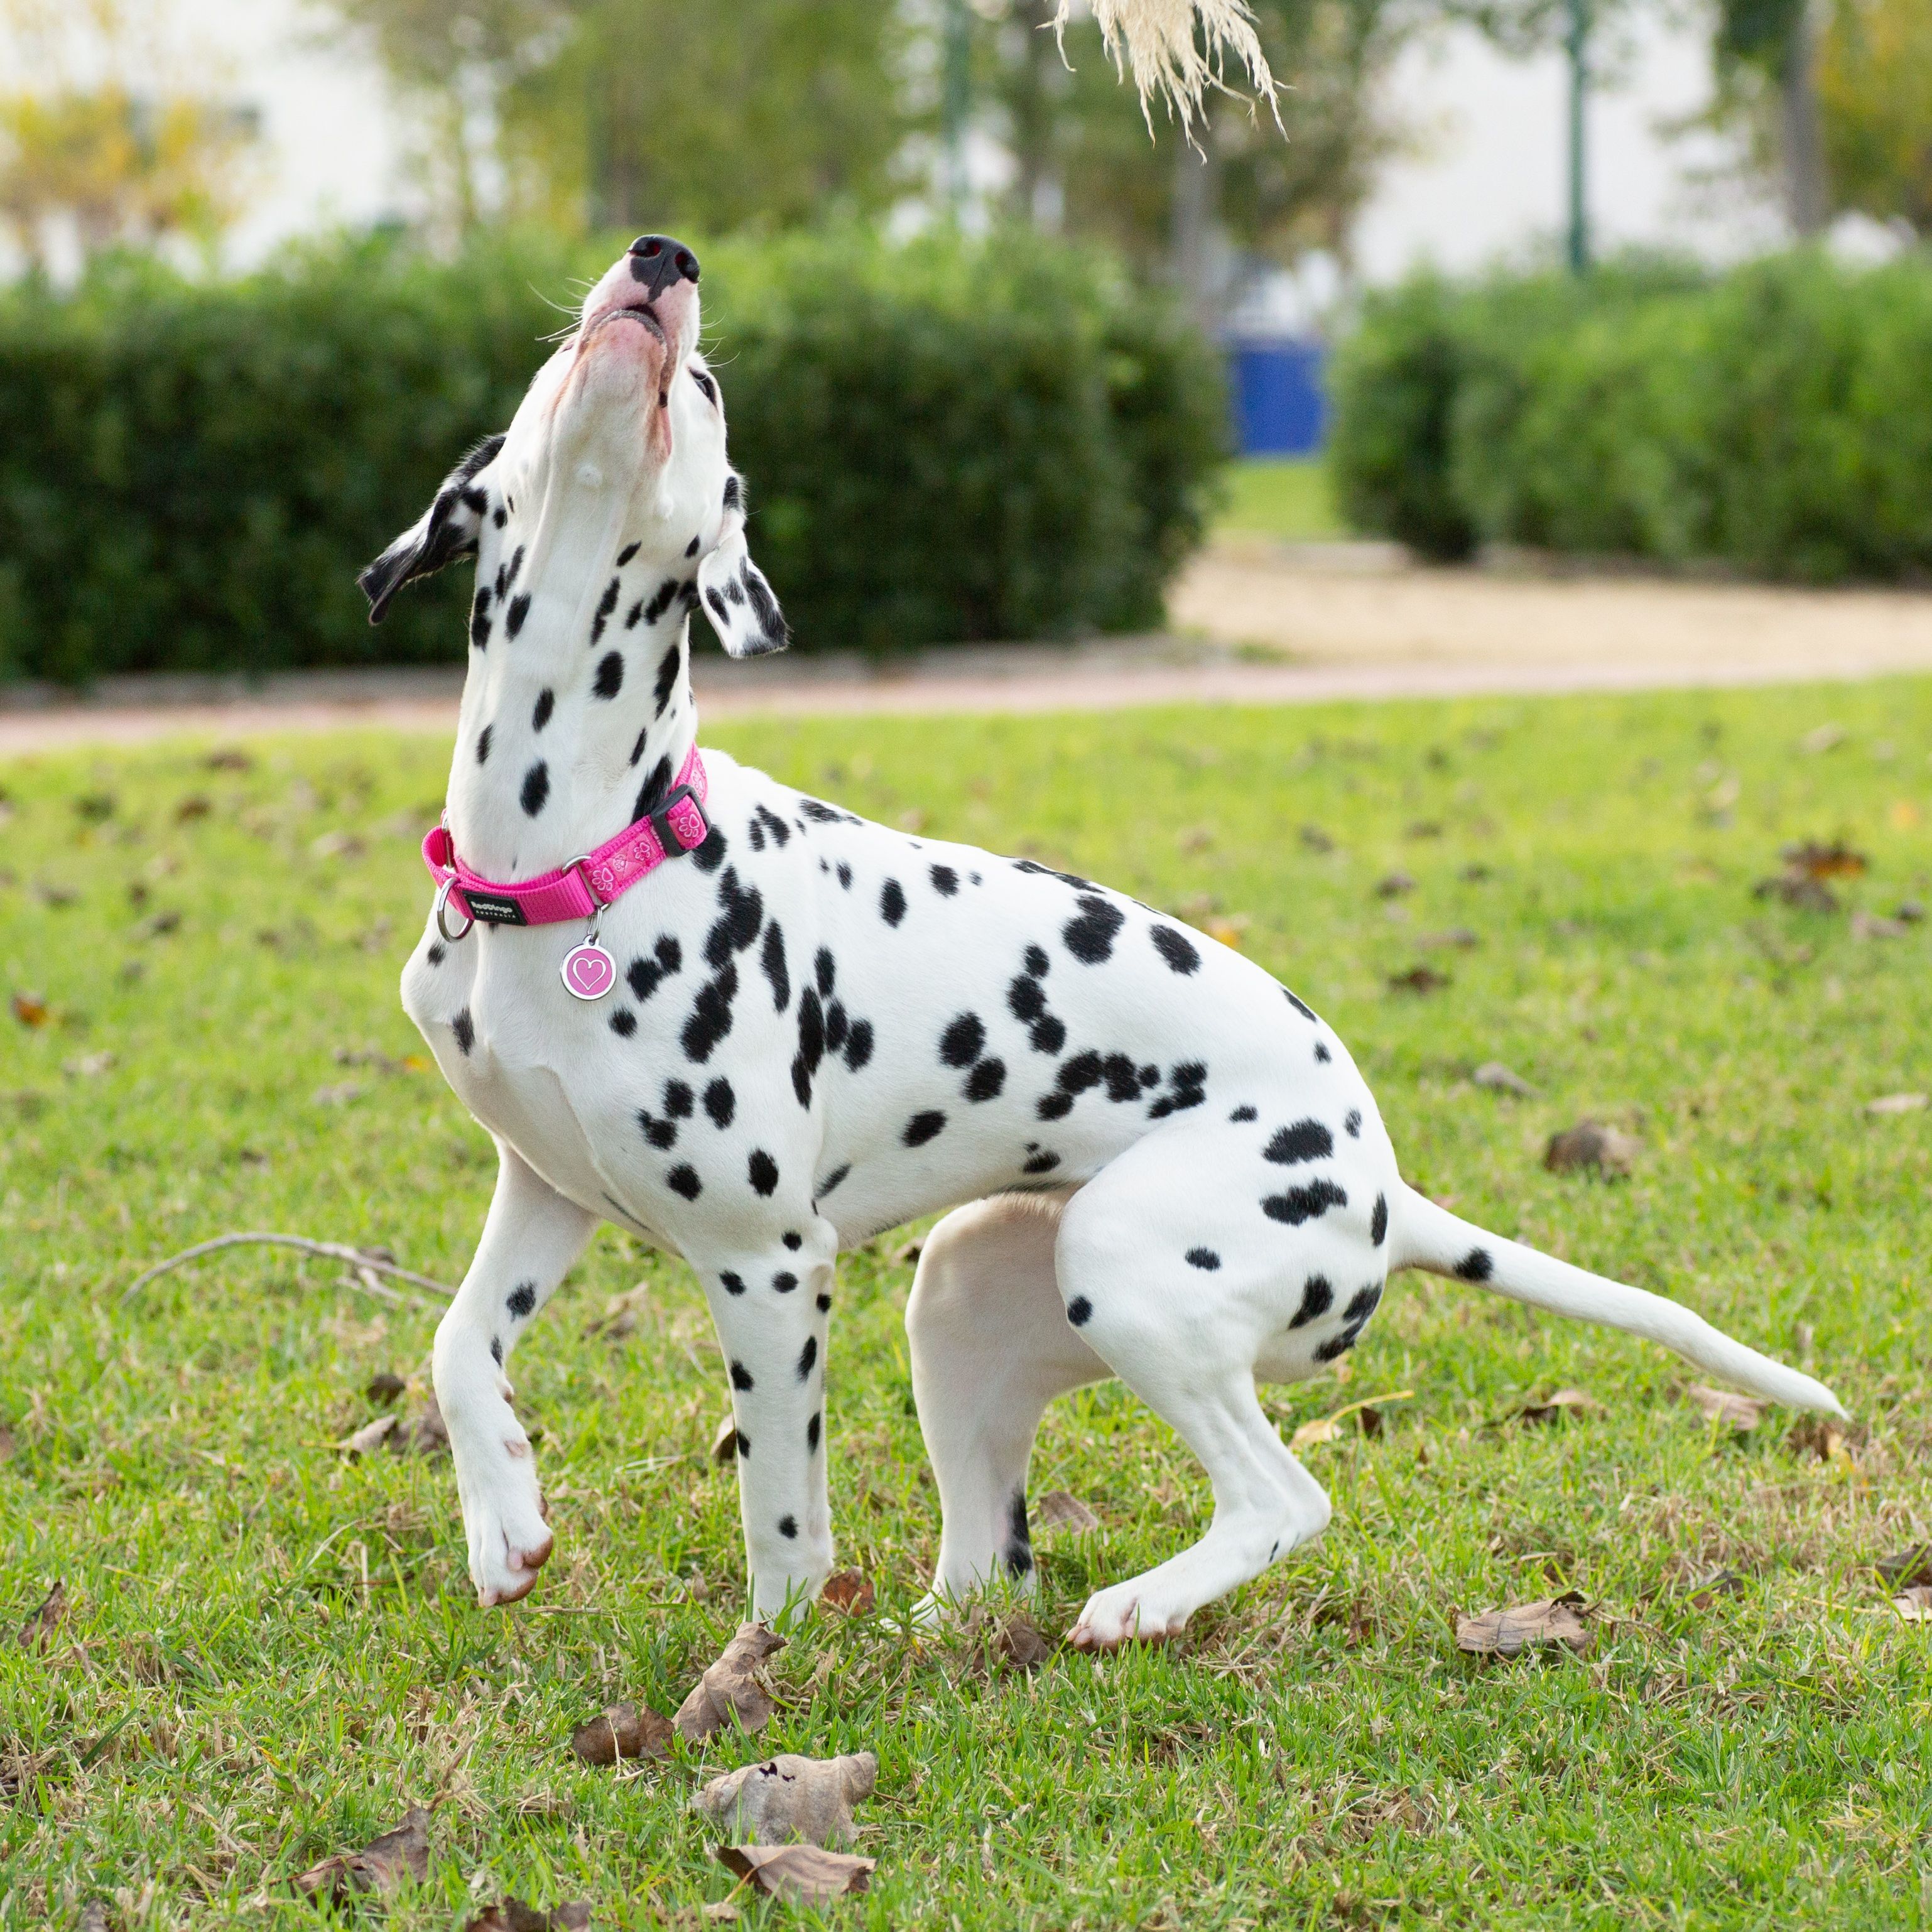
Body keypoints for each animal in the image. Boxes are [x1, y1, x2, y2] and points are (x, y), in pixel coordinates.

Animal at [355, 230, 1847, 1646]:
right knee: (982, 1568)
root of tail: (1384, 1186)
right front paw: (502, 1522)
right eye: (555, 359)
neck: (570, 853)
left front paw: (761, 1670)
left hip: (1125, 1270)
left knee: (1282, 1498)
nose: (663, 258)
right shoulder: (542, 1185)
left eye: (713, 390)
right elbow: (454, 1343)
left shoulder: (766, 1262)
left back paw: (1141, 1603)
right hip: (963, 1294)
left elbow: (781, 1523)